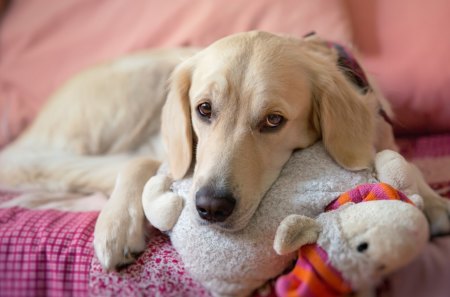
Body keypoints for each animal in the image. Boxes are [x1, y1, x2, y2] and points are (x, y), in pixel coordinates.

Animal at [0, 31, 450, 270]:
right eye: (204, 109)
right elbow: (142, 162)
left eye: (273, 120)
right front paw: (115, 226)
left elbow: (399, 161)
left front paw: (431, 201)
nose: (210, 208)